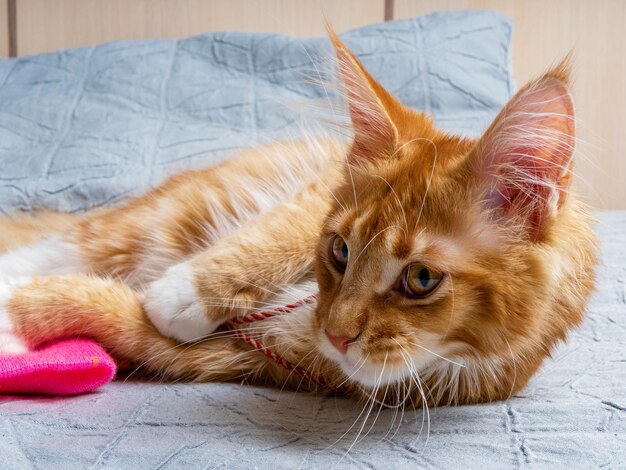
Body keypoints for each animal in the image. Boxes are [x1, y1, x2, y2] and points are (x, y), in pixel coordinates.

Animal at [0, 33, 596, 406]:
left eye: (422, 279)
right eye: (339, 250)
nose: (335, 332)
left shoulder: (231, 358)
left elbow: (100, 306)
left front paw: (19, 315)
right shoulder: (313, 197)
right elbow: (274, 234)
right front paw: (183, 293)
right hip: (153, 219)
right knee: (59, 244)